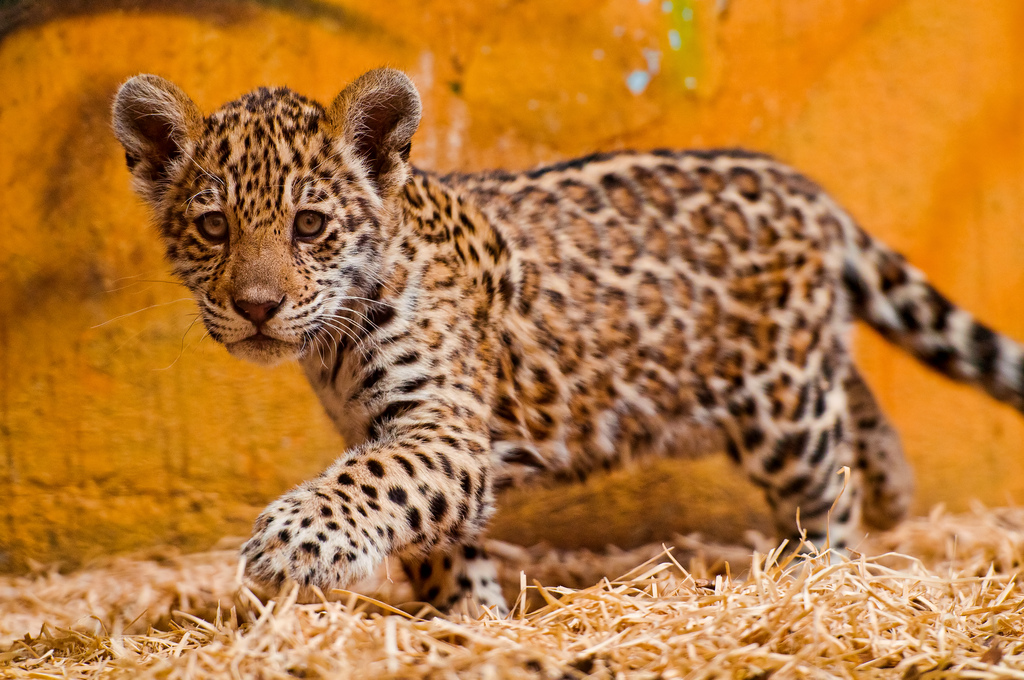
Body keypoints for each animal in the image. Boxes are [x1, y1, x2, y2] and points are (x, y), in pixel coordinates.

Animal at [112, 68, 1024, 615]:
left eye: (309, 225)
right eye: (213, 227)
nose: (256, 306)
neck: (334, 342)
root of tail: (809, 190)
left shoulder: (440, 426)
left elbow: (375, 481)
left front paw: (293, 543)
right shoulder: (400, 432)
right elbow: (432, 531)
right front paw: (469, 623)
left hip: (782, 407)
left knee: (825, 485)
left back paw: (822, 579)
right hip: (802, 369)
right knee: (856, 395)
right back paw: (895, 492)